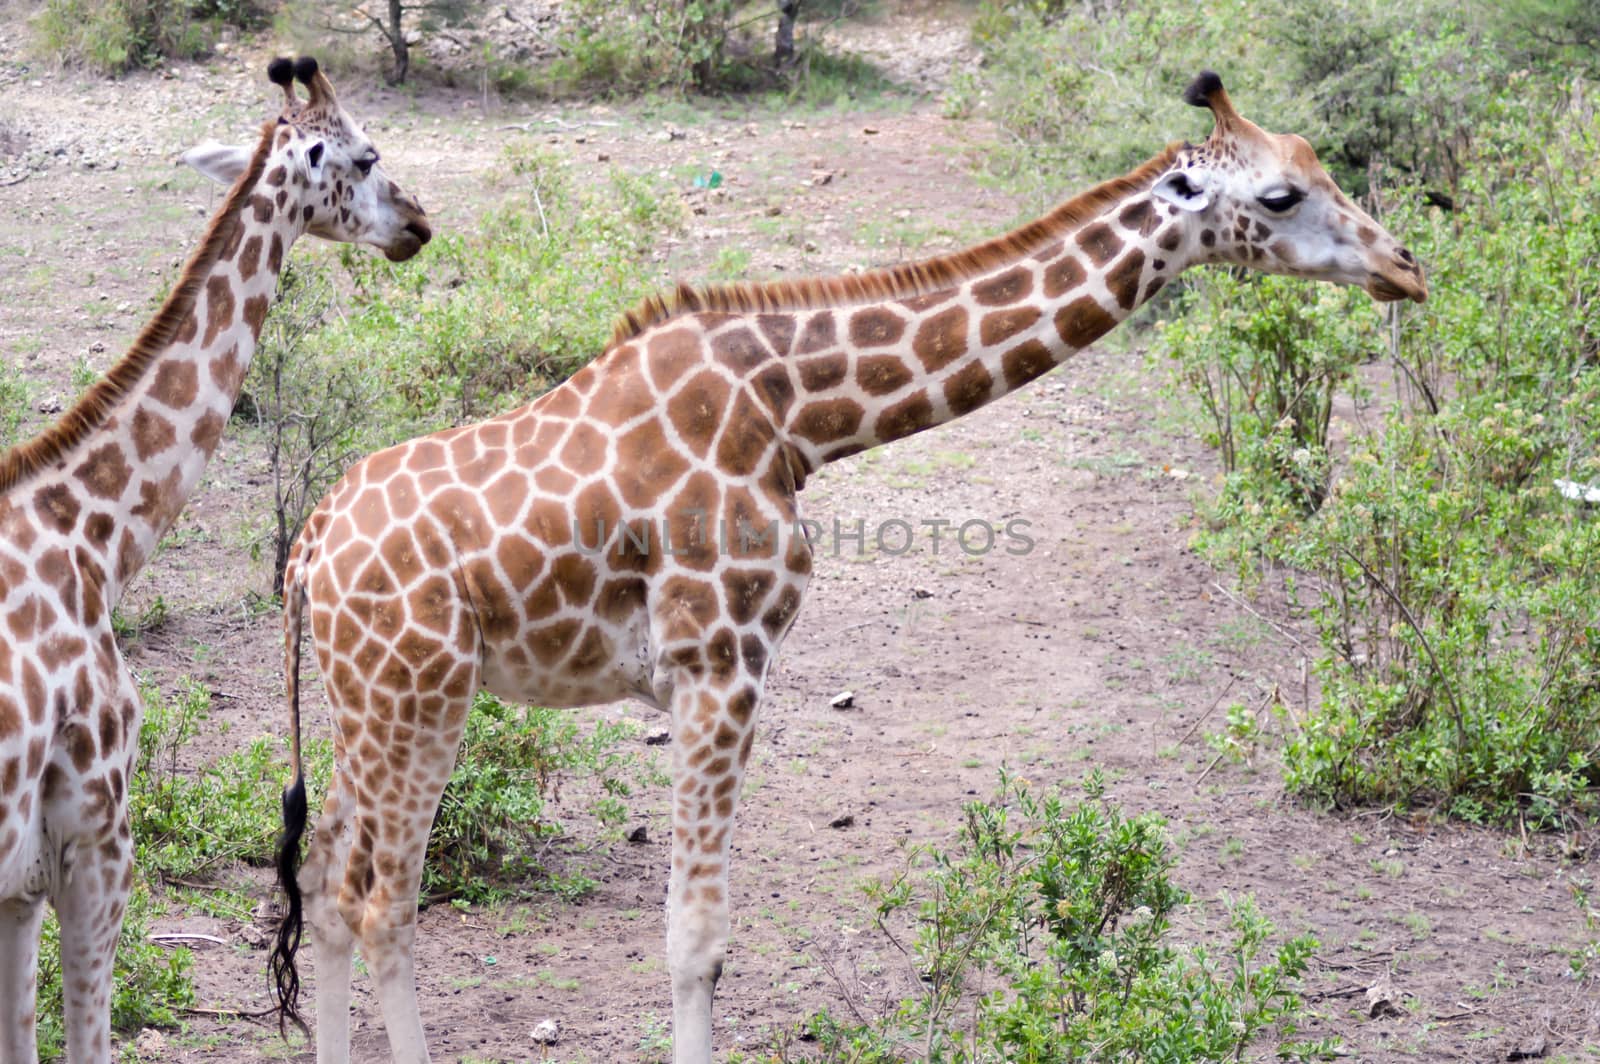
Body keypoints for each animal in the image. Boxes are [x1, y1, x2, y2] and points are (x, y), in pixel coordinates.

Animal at [268, 68, 1433, 1062]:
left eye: (1321, 164)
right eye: (1282, 194)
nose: (1405, 267)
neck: (795, 412)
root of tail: (307, 552)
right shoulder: (718, 661)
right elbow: (696, 941)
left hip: (361, 702)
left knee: (324, 883)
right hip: (417, 693)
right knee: (384, 901)